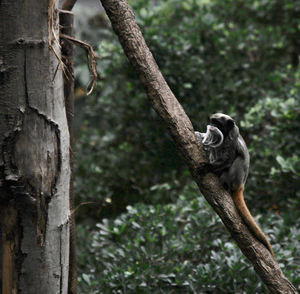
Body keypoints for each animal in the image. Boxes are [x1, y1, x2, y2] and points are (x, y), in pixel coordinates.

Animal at [195, 113, 274, 256]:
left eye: (217, 123)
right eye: (212, 121)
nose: (212, 126)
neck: (226, 133)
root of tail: (241, 185)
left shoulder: (231, 139)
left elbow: (229, 158)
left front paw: (209, 167)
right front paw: (200, 136)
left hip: (234, 177)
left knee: (238, 158)